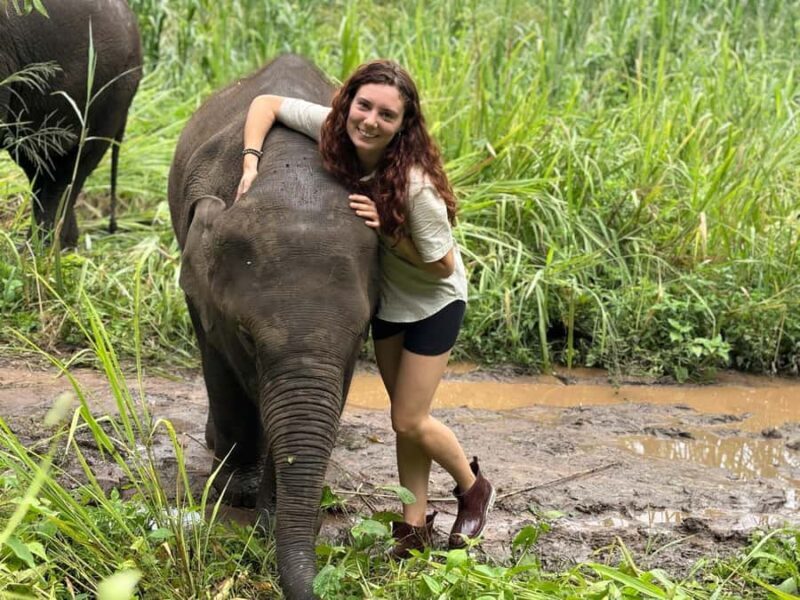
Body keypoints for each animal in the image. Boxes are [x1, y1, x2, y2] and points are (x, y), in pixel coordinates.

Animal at [168, 54, 380, 600]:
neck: (293, 176)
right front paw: (236, 496)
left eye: (361, 336)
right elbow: (218, 366)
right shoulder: (203, 291)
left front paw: (270, 511)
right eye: (246, 335)